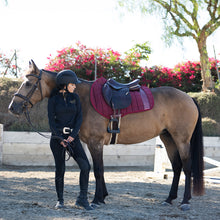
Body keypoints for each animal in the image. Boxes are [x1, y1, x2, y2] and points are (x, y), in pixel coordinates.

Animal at [8, 60, 205, 211]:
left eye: (28, 83)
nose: (12, 107)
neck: (83, 98)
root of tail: (189, 98)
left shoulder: (95, 142)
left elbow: (98, 170)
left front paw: (96, 200)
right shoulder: (93, 144)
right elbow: (98, 169)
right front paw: (102, 197)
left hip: (181, 140)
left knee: (187, 167)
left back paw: (185, 202)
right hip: (168, 138)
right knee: (177, 167)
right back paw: (169, 199)